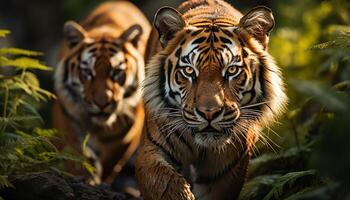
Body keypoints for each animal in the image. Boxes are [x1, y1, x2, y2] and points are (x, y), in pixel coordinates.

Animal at [52, 0, 150, 184]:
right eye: (87, 72)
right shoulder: (68, 117)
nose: (102, 103)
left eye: (117, 72)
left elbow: (111, 159)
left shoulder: (127, 131)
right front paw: (84, 177)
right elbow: (76, 153)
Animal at [136, 0, 288, 200]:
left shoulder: (225, 172)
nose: (209, 113)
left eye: (231, 70)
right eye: (189, 70)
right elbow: (165, 184)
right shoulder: (151, 151)